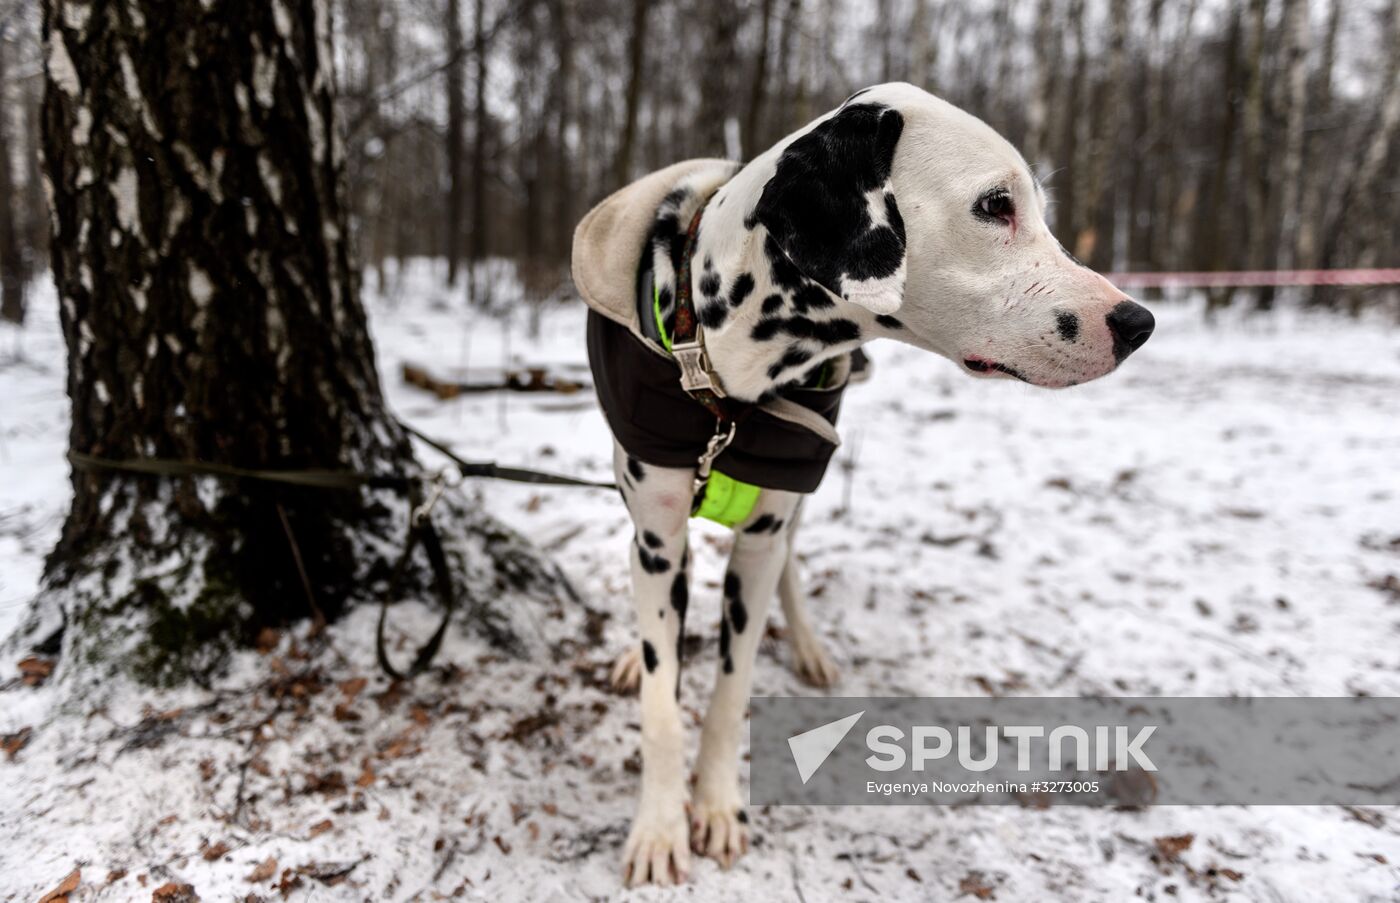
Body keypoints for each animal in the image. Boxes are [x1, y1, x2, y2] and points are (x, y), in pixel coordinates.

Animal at [576, 80, 1148, 884]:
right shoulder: (658, 533)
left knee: (791, 561)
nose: (1138, 321)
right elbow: (663, 702)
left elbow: (730, 688)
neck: (726, 371)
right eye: (995, 204)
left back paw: (808, 644)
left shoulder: (762, 538)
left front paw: (716, 804)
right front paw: (659, 828)